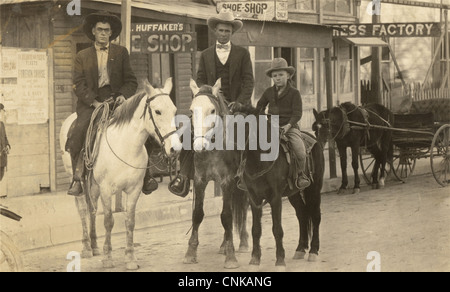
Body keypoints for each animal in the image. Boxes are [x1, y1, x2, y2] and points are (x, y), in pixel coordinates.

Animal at [60, 77, 182, 270]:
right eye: (157, 111)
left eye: (174, 110)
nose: (174, 148)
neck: (126, 146)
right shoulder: (106, 189)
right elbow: (109, 221)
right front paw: (108, 258)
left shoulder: (134, 189)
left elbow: (130, 221)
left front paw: (130, 258)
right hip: (77, 179)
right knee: (83, 209)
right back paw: (87, 246)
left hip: (93, 185)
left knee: (92, 209)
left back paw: (94, 245)